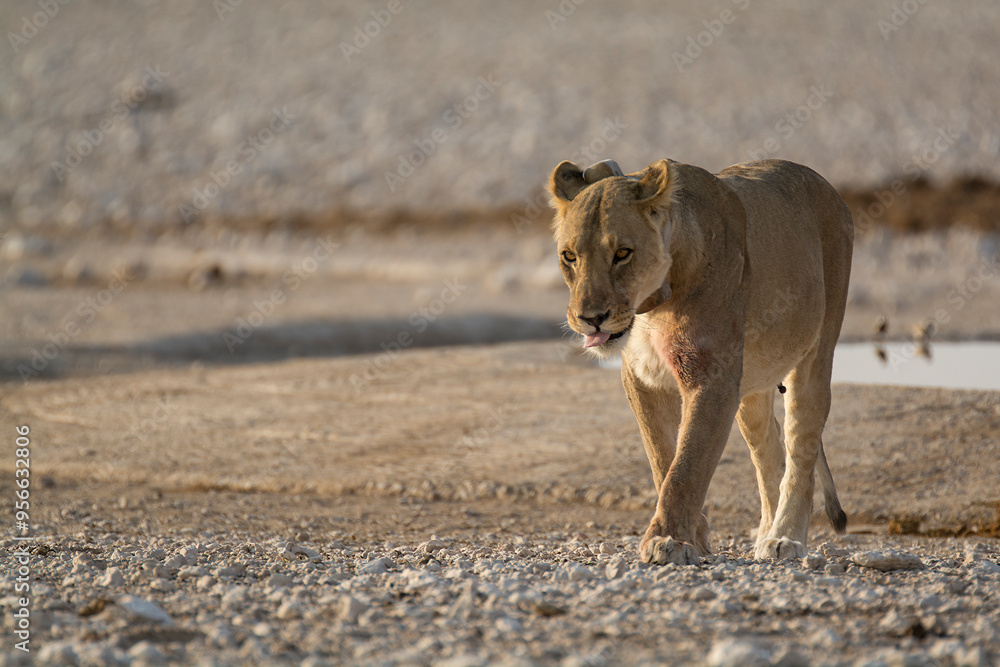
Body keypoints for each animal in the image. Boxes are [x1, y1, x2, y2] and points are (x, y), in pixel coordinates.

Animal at [549, 157, 853, 564]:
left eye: (622, 253)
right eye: (570, 256)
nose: (590, 318)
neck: (652, 306)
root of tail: (826, 186)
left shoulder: (712, 376)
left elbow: (688, 465)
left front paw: (669, 541)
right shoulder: (642, 379)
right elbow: (663, 459)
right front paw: (693, 537)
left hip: (816, 355)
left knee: (800, 447)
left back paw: (784, 539)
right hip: (751, 386)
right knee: (767, 449)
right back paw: (764, 534)